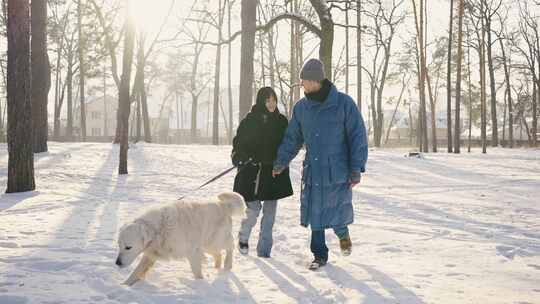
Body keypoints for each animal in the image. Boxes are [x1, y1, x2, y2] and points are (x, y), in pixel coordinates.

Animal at [118, 192, 247, 284]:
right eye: (119, 246)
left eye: (128, 247)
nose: (117, 263)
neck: (159, 229)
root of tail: (224, 205)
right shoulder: (151, 253)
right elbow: (136, 272)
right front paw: (124, 286)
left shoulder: (193, 252)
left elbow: (197, 272)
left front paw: (200, 284)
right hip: (207, 245)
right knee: (218, 254)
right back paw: (216, 268)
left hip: (215, 240)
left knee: (230, 246)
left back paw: (227, 264)